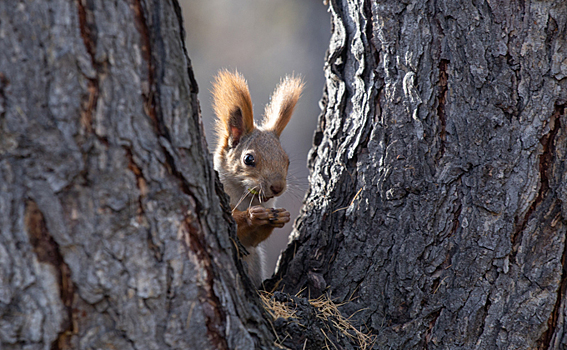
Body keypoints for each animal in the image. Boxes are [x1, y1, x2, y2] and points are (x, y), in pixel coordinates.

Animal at [211, 70, 304, 288]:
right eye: (248, 159)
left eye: (286, 160)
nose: (278, 187)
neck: (247, 197)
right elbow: (237, 228)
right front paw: (252, 216)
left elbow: (253, 240)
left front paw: (281, 217)